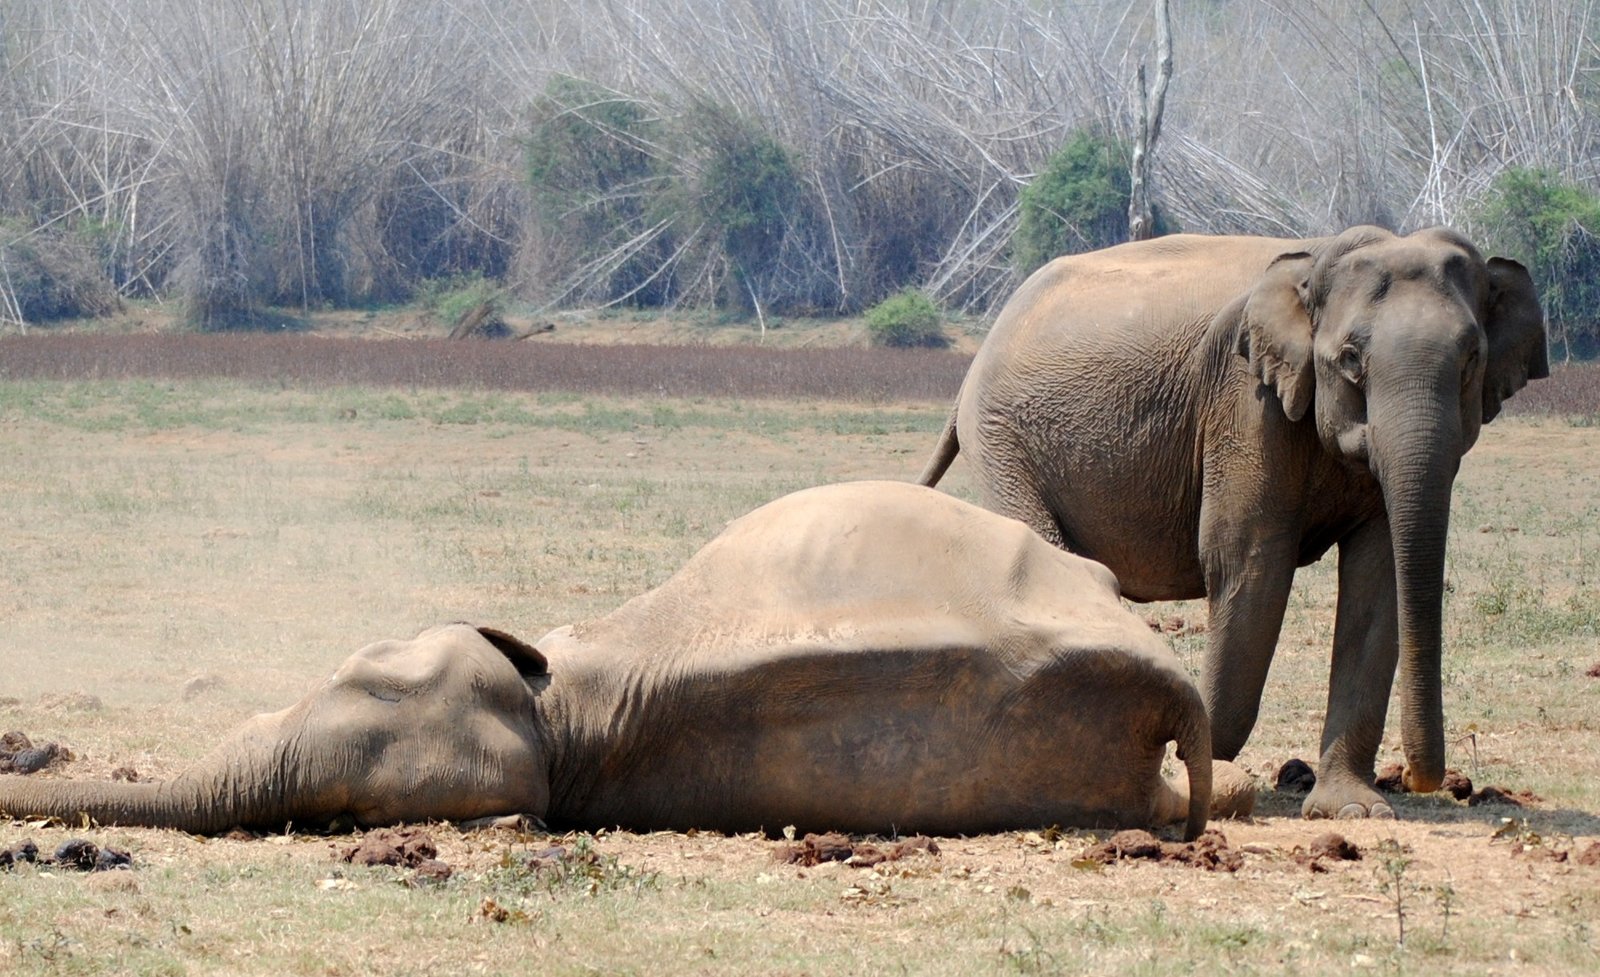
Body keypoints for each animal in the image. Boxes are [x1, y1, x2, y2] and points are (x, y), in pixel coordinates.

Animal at [928, 227, 1548, 818]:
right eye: (1350, 359)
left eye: (1472, 358)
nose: (1425, 780)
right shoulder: (1244, 398)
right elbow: (1250, 560)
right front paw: (1203, 778)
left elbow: (1378, 581)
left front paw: (1353, 808)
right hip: (1004, 442)